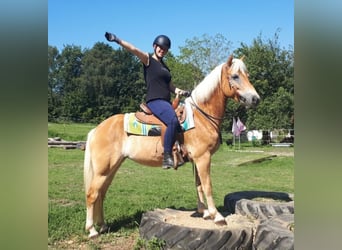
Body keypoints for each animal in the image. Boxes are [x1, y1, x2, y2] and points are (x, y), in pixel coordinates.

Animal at [85, 55, 260, 238]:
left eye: (247, 75)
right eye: (235, 76)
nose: (255, 99)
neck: (201, 117)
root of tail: (96, 129)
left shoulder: (197, 160)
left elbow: (198, 185)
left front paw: (203, 212)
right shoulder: (203, 157)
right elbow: (207, 186)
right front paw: (216, 216)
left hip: (112, 168)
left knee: (101, 194)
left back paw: (103, 226)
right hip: (103, 169)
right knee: (92, 194)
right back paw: (92, 230)